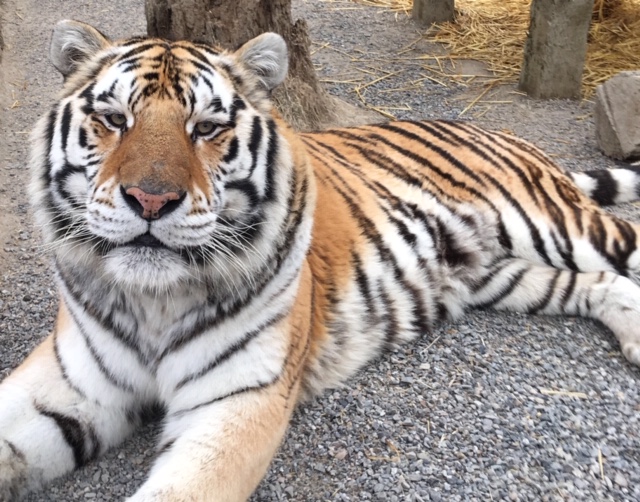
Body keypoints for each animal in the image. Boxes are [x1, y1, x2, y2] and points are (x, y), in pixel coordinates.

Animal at [1, 18, 639, 501]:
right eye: (113, 119)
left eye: (206, 127)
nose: (151, 199)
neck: (152, 300)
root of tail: (504, 134)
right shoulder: (70, 382)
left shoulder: (238, 401)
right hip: (497, 273)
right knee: (595, 284)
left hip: (557, 226)